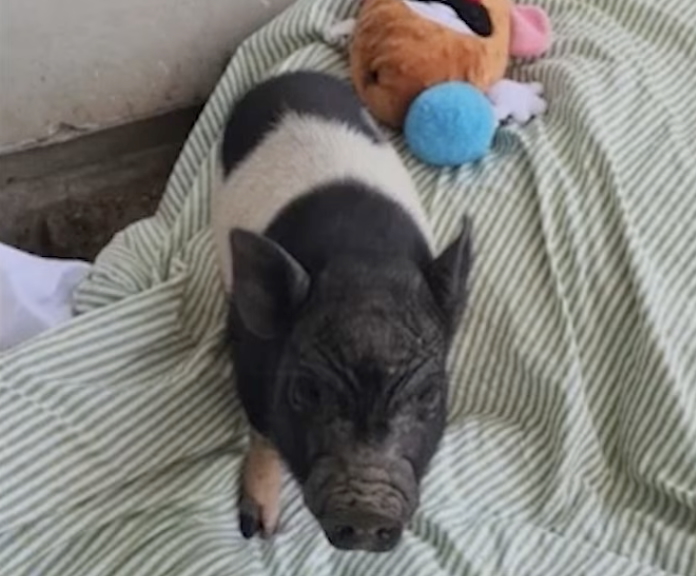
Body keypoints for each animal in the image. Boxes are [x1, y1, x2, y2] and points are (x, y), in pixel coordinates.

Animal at [211, 71, 472, 553]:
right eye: (307, 391)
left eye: (429, 395)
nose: (367, 513)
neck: (363, 262)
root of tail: (289, 76)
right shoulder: (251, 365)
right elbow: (262, 431)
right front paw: (257, 529)